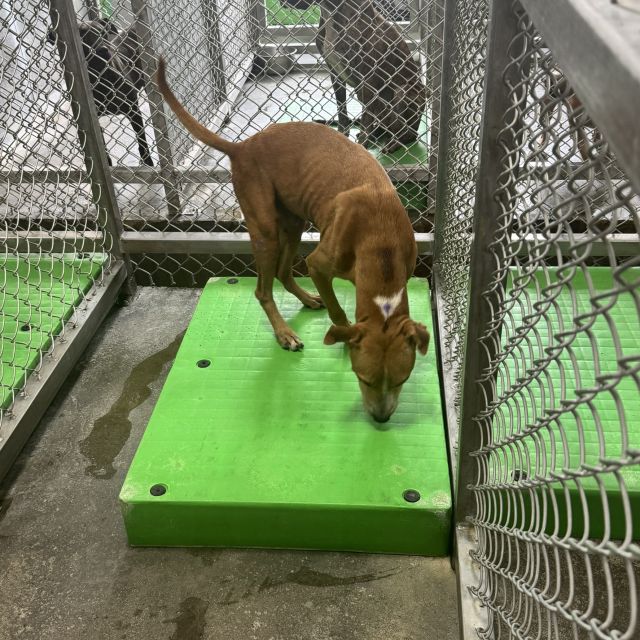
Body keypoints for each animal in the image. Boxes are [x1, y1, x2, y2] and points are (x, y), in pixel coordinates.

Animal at [48, 19, 153, 166]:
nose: (102, 50)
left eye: (103, 33)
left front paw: (148, 161)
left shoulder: (133, 110)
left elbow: (141, 139)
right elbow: (102, 146)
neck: (102, 77)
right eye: (82, 36)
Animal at [157, 58, 429, 422]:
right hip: (266, 231)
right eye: (362, 378)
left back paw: (306, 299)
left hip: (294, 222)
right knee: (263, 290)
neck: (381, 246)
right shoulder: (318, 265)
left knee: (284, 272)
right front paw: (343, 336)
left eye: (403, 379)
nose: (382, 419)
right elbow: (338, 312)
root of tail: (242, 146)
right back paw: (284, 333)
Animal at [282, 0, 426, 154]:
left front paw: (362, 145)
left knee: (411, 133)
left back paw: (393, 142)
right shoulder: (335, 74)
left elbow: (365, 119)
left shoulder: (367, 81)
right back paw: (376, 133)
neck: (332, 10)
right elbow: (342, 111)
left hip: (403, 92)